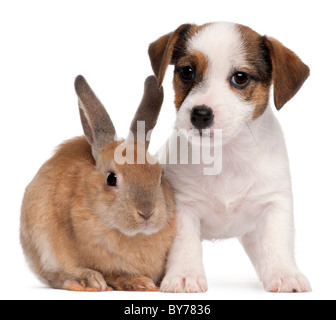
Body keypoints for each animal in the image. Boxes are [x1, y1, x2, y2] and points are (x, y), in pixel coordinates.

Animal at [20, 75, 176, 292]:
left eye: (160, 175)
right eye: (111, 178)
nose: (147, 212)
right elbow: (114, 273)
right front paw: (140, 283)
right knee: (53, 276)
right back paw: (86, 280)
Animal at [148, 21, 312, 292]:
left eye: (240, 78)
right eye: (187, 71)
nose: (200, 114)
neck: (225, 156)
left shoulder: (275, 204)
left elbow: (277, 243)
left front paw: (285, 274)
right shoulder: (182, 206)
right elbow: (184, 244)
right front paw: (184, 275)